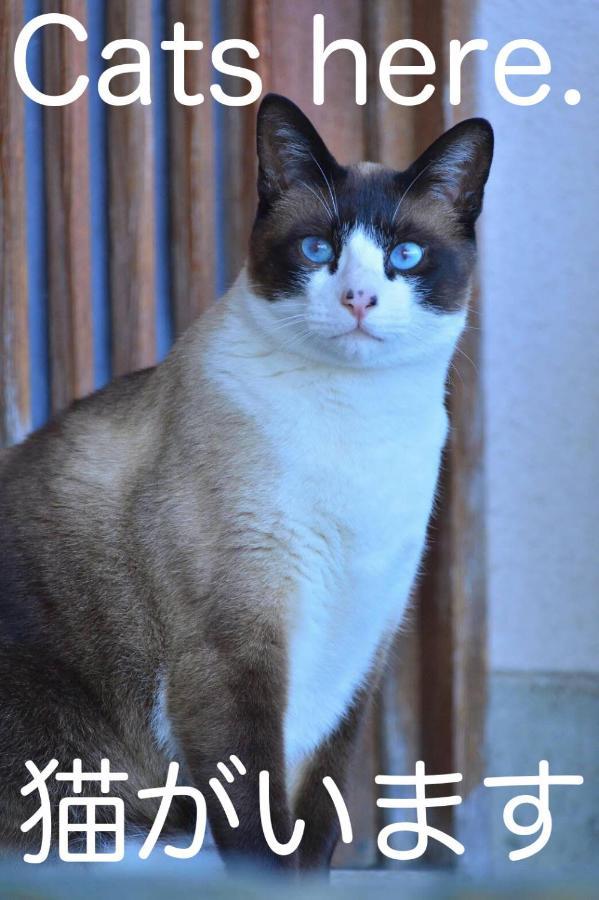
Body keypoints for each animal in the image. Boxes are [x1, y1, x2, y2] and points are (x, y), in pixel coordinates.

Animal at [0, 95, 492, 868]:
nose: (357, 299)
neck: (356, 423)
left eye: (404, 257)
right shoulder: (236, 647)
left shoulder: (358, 654)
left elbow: (314, 831)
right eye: (316, 251)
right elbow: (259, 833)